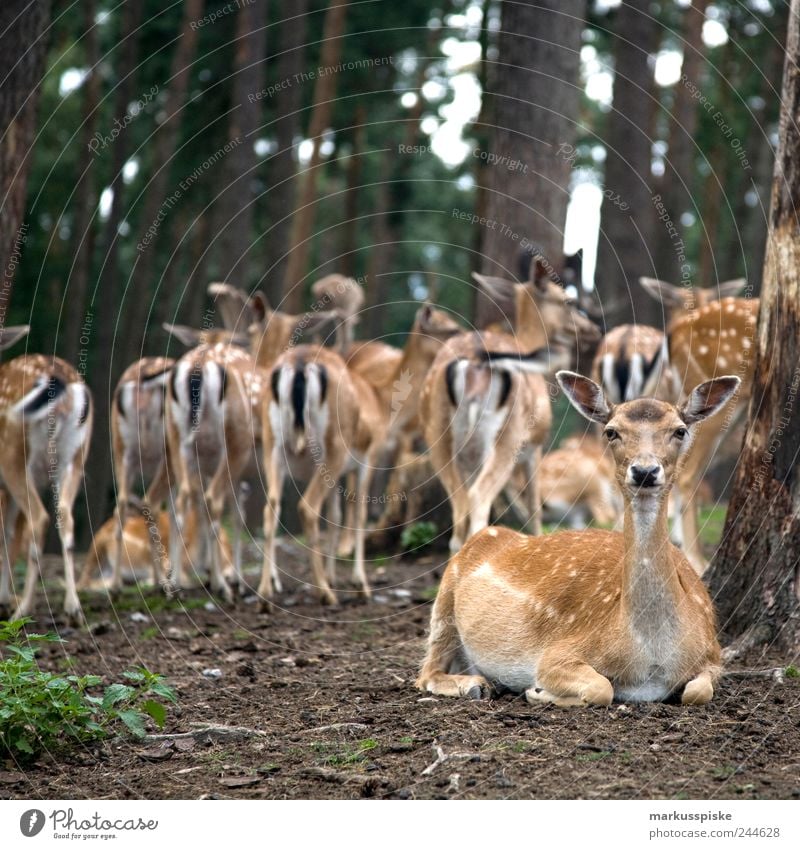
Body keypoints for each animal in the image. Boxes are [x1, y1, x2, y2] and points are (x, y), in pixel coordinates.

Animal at [0, 324, 94, 624]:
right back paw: (73, 608)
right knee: (64, 515)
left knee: (39, 519)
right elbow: (8, 533)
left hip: (14, 454)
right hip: (74, 456)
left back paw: (23, 609)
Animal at [416, 372, 740, 708]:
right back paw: (475, 685)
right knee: (426, 671)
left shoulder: (713, 653)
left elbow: (698, 691)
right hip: (444, 600)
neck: (651, 660)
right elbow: (602, 687)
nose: (645, 471)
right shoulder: (557, 653)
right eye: (611, 432)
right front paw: (537, 690)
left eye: (680, 430)